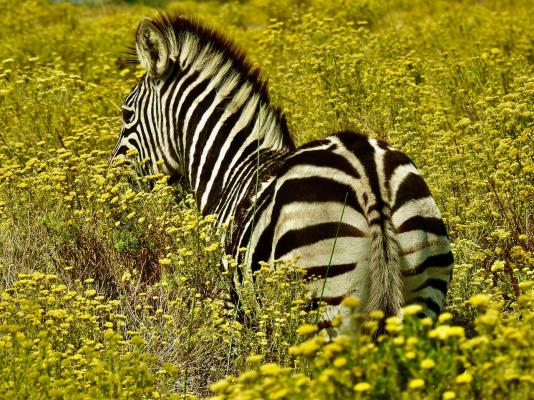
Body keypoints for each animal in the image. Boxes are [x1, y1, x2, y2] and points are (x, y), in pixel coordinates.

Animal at [113, 13, 456, 334]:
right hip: (422, 282)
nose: (112, 179)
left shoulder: (234, 303)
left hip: (329, 299)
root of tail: (367, 172)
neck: (232, 167)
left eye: (126, 114)